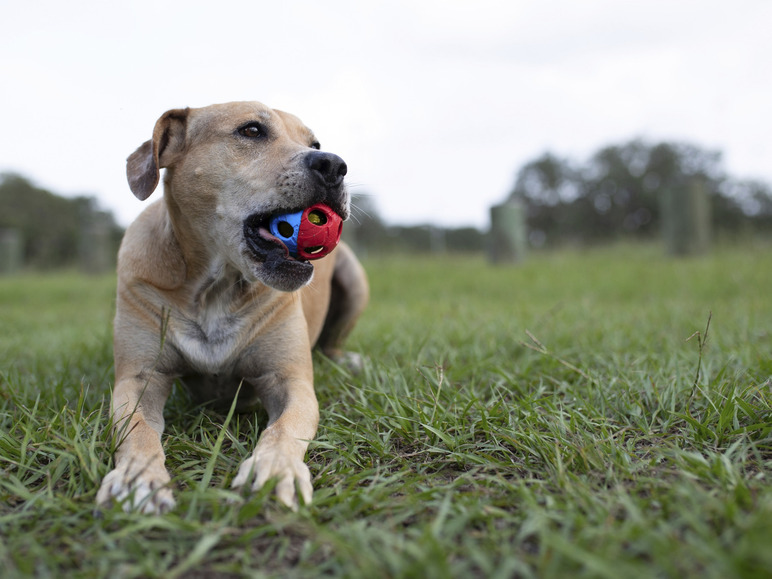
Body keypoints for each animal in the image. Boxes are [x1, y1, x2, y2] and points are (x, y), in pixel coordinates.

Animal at [95, 102, 368, 516]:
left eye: (315, 144)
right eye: (251, 130)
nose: (335, 164)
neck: (215, 287)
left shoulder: (290, 381)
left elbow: (285, 427)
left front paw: (275, 468)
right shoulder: (140, 379)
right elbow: (137, 429)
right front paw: (137, 476)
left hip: (355, 279)